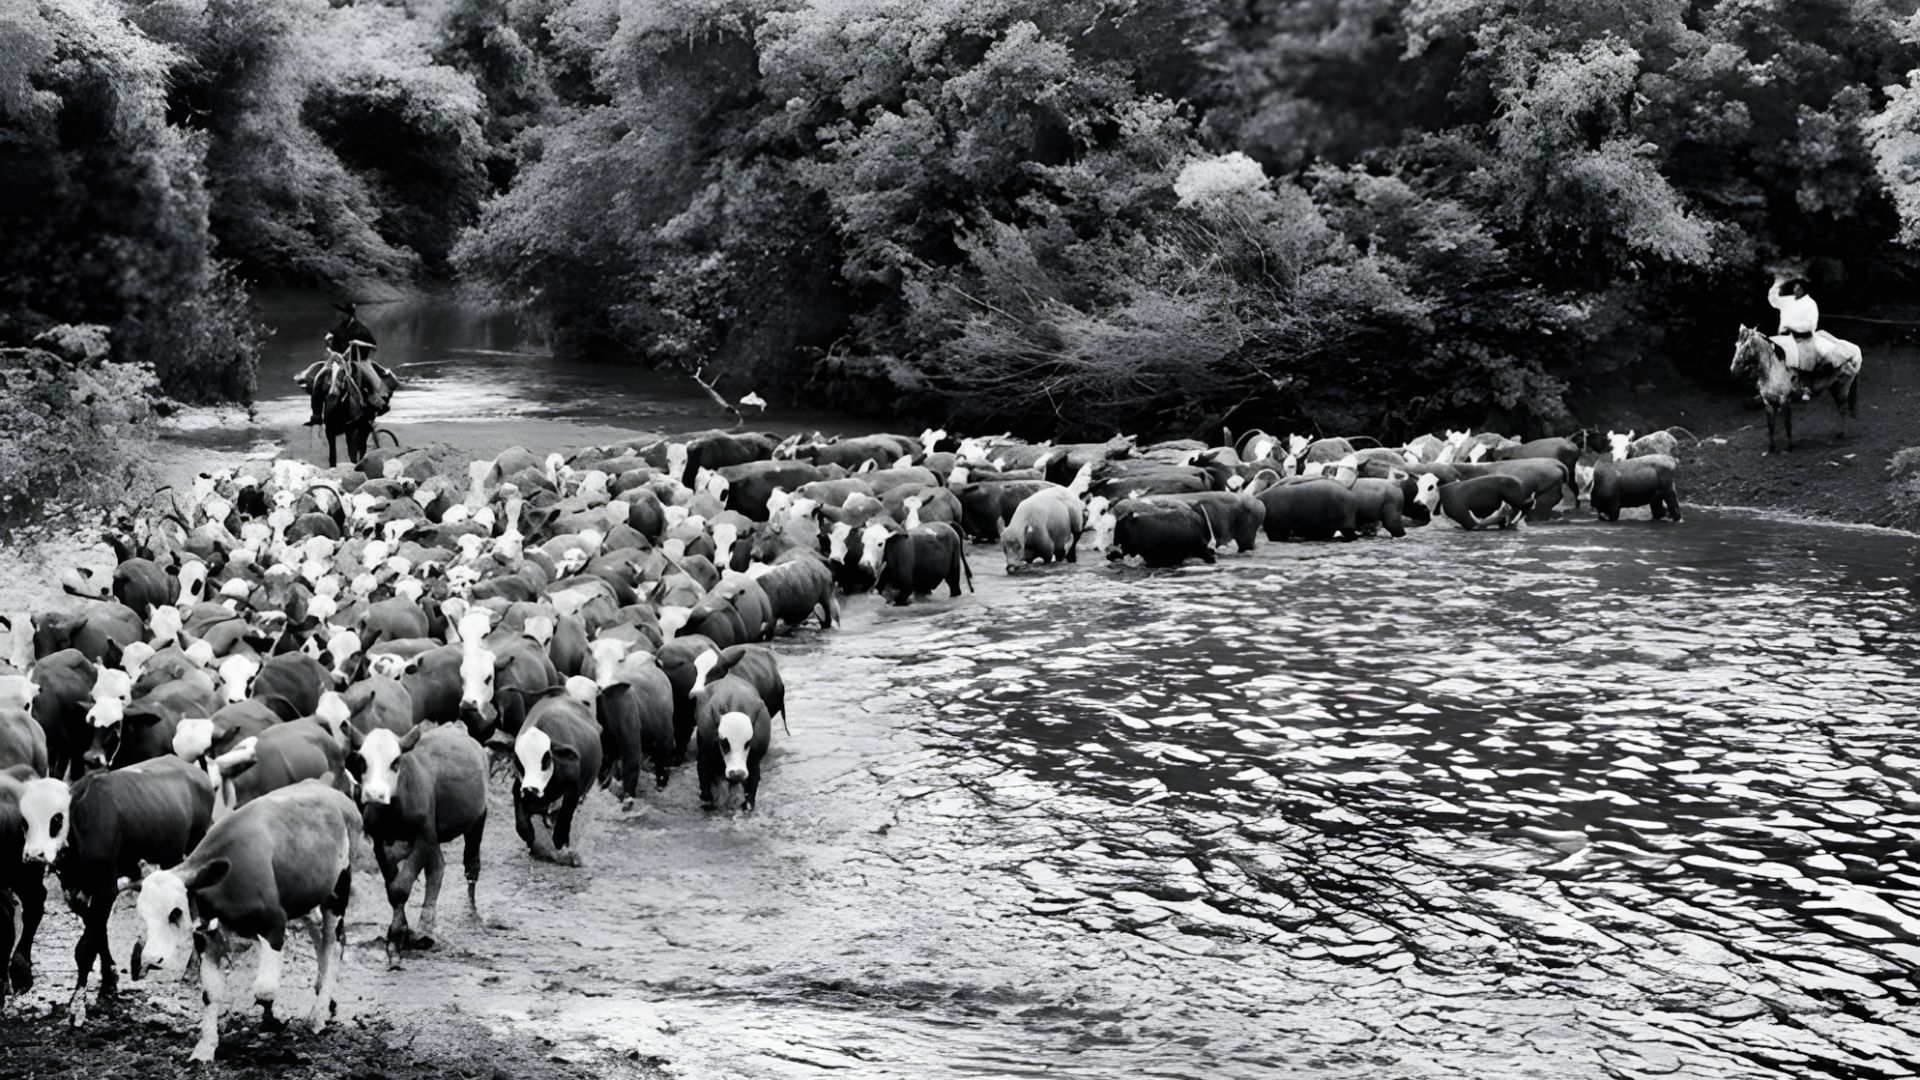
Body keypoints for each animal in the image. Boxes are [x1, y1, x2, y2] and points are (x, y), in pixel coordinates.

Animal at [1728, 320, 1858, 451]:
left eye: (1747, 346)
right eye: (1736, 345)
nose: (1733, 371)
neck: (1772, 370)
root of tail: (1853, 352)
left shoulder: (1784, 400)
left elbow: (1787, 423)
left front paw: (1789, 446)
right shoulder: (1767, 402)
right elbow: (1771, 425)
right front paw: (1772, 448)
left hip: (1843, 388)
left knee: (1842, 409)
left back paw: (1842, 433)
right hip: (1834, 387)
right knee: (1841, 409)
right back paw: (1840, 433)